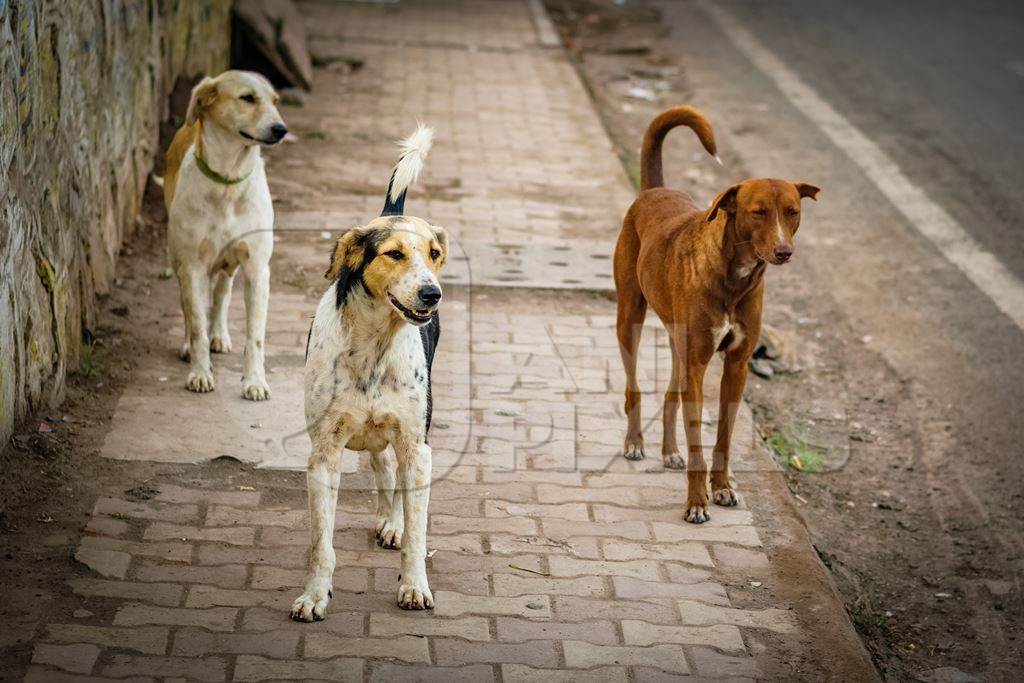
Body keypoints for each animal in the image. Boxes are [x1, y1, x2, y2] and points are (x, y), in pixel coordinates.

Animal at [290, 122, 446, 618]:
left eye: (434, 253)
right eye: (394, 254)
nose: (433, 294)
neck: (376, 346)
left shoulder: (418, 448)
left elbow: (417, 532)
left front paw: (413, 586)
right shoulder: (323, 454)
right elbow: (320, 543)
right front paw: (315, 595)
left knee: (391, 472)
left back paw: (392, 523)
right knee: (381, 465)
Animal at [610, 107, 819, 524]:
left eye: (793, 212)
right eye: (758, 213)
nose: (784, 251)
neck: (734, 276)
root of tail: (653, 191)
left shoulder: (735, 366)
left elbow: (723, 435)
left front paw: (721, 488)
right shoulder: (698, 364)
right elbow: (698, 442)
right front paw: (696, 502)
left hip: (677, 343)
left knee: (671, 394)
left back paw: (669, 451)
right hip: (630, 318)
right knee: (633, 386)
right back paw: (635, 442)